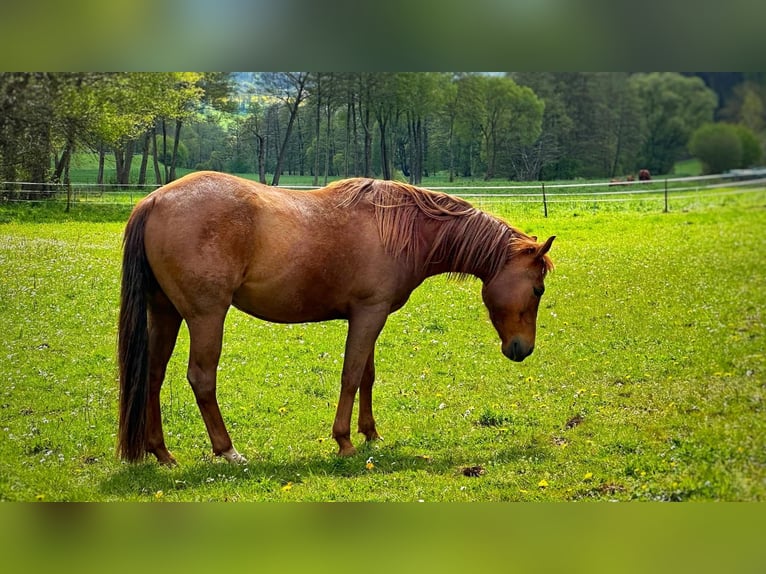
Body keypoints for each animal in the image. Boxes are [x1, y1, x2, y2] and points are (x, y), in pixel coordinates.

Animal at [117, 171, 555, 465]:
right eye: (538, 290)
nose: (522, 349)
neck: (403, 228)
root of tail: (152, 202)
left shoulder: (370, 315)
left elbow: (367, 376)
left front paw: (371, 433)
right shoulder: (369, 314)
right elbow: (351, 375)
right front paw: (344, 440)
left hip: (165, 312)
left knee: (152, 376)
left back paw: (161, 453)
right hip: (206, 316)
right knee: (202, 379)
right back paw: (227, 450)